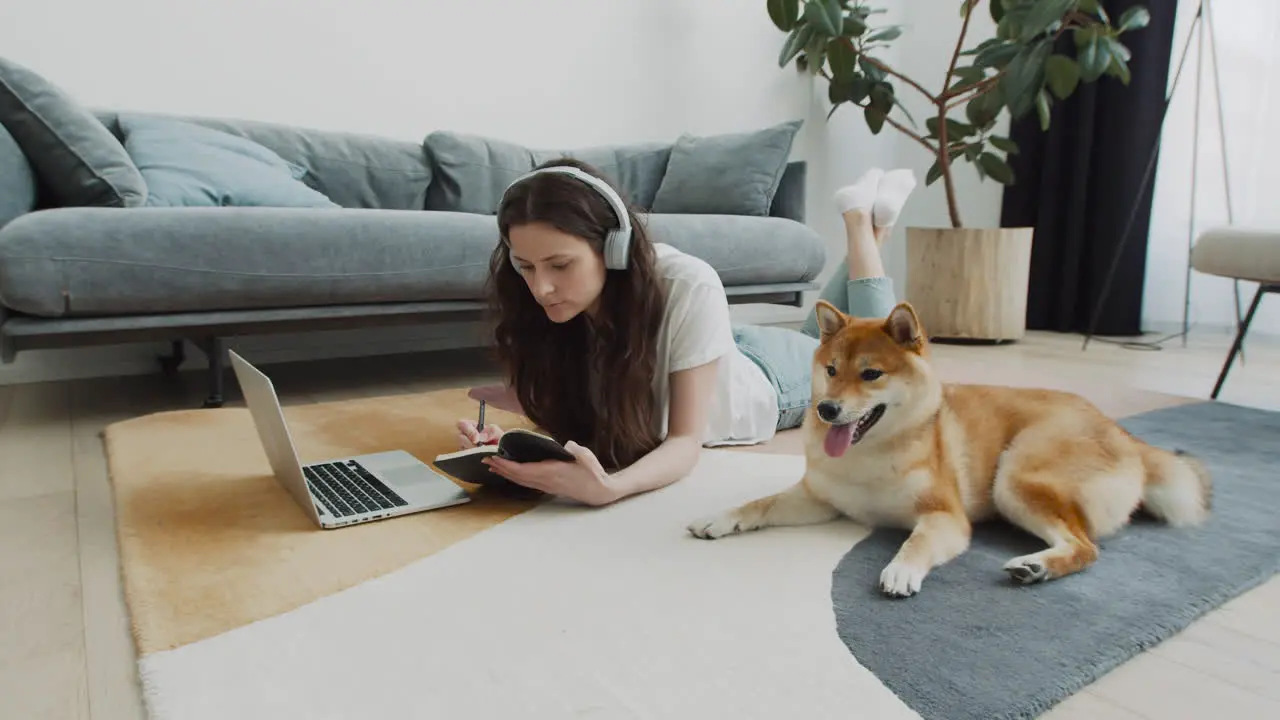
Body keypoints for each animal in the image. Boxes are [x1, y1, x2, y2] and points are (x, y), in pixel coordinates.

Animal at [691, 297, 1208, 594]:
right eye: (832, 370)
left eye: (871, 374)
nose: (826, 410)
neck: (868, 457)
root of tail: (1124, 435)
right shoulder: (820, 500)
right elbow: (759, 504)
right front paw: (720, 518)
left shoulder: (944, 514)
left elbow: (917, 540)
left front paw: (902, 569)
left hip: (1014, 478)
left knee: (1086, 547)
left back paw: (1037, 567)